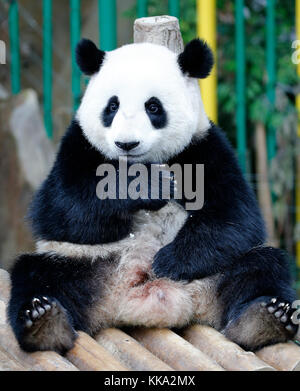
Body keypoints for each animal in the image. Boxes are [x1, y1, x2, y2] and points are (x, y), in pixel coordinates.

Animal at [7, 37, 298, 356]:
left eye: (153, 107)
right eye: (112, 106)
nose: (126, 144)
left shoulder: (204, 147)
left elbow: (236, 217)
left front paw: (168, 262)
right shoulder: (78, 145)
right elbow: (60, 211)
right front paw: (149, 187)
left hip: (216, 272)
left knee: (262, 267)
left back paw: (264, 319)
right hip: (83, 265)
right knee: (36, 274)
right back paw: (44, 322)